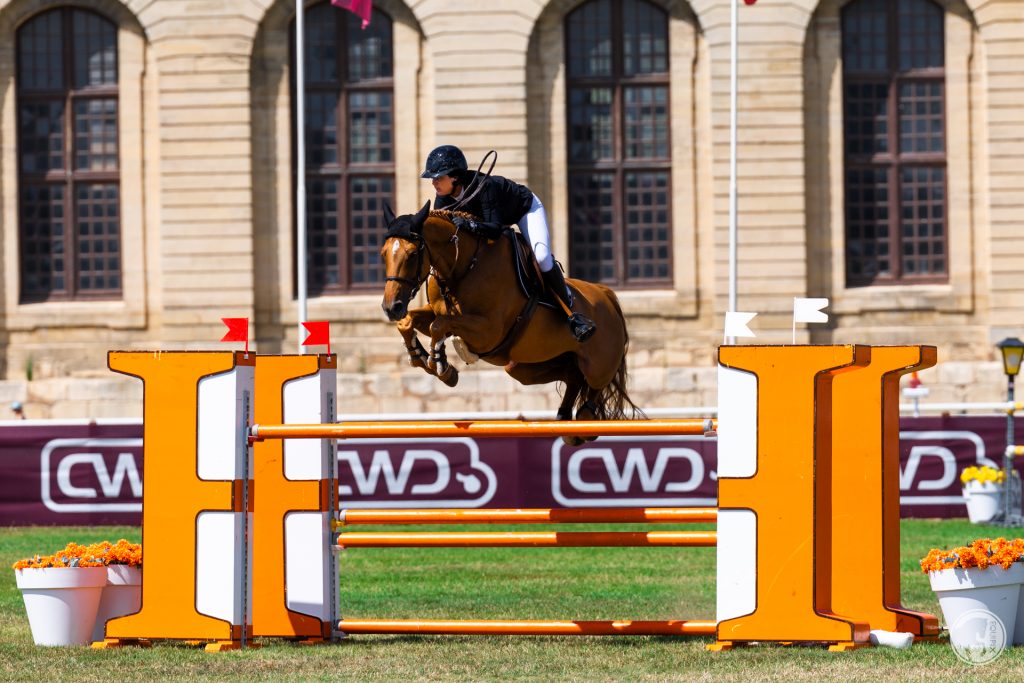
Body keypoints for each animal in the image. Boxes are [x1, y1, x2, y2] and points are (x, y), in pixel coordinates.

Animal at [382, 200, 638, 444]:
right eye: (384, 254)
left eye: (412, 254)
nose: (391, 307)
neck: (463, 266)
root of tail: (606, 295)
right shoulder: (439, 312)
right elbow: (411, 322)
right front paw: (420, 356)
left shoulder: (488, 332)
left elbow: (439, 326)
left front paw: (442, 367)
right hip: (523, 367)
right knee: (572, 376)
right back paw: (566, 423)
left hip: (597, 365)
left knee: (591, 392)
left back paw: (584, 423)